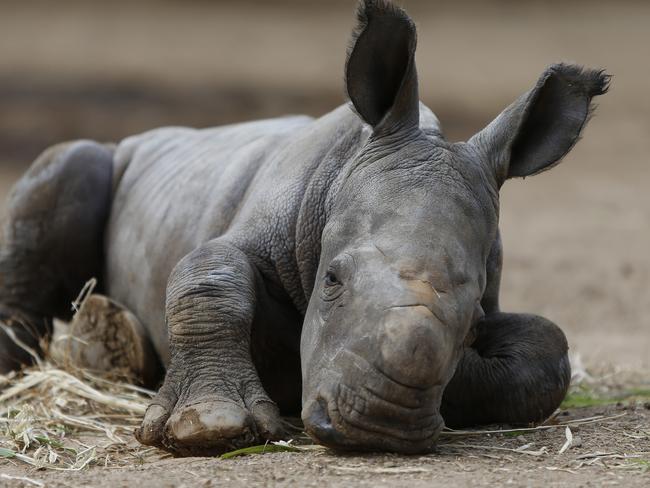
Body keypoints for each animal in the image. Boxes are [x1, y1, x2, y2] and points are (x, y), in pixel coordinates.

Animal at [0, 0, 608, 456]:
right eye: (331, 280)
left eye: (475, 316)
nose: (381, 425)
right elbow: (209, 275)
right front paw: (209, 426)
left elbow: (546, 353)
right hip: (110, 157)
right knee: (72, 165)